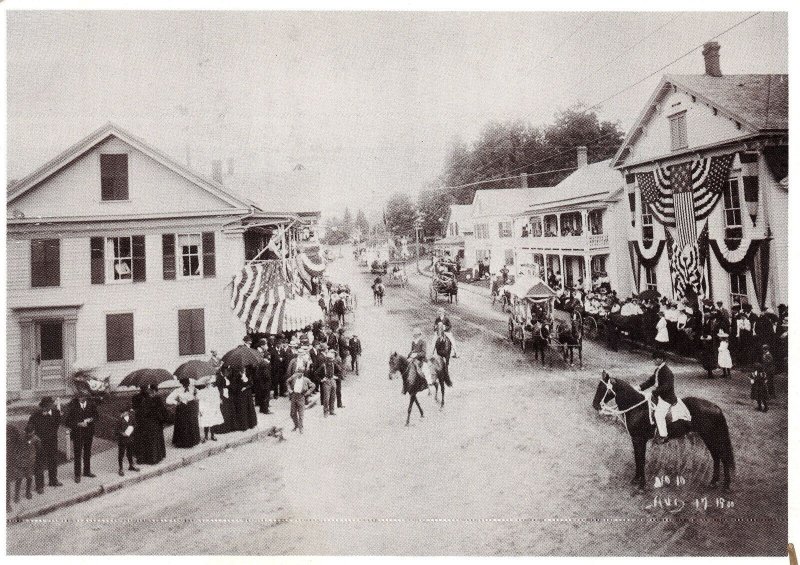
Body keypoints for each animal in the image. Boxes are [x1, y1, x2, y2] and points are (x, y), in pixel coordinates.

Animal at [592, 370, 736, 490]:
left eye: (603, 388)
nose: (594, 405)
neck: (637, 407)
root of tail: (716, 407)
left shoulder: (640, 439)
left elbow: (641, 460)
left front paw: (642, 484)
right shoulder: (636, 439)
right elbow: (638, 459)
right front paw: (636, 479)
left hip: (712, 437)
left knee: (723, 457)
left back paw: (726, 485)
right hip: (708, 438)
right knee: (716, 457)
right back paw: (713, 482)